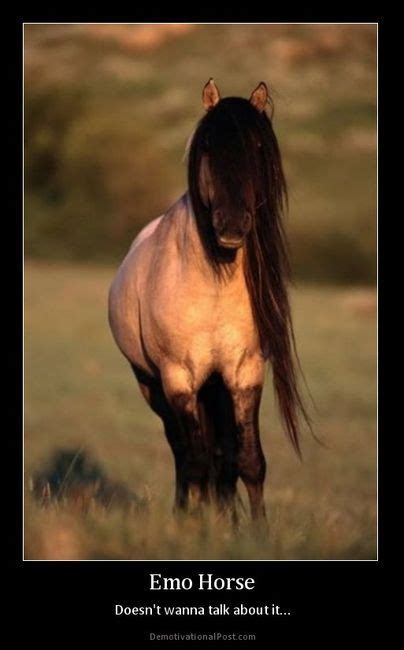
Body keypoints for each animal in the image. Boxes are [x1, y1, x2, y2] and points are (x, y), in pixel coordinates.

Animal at [108, 79, 310, 525]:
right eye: (206, 147)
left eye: (256, 146)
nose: (231, 226)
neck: (213, 287)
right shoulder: (178, 379)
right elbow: (195, 461)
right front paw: (192, 527)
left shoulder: (245, 373)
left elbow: (248, 460)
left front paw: (253, 531)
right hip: (154, 387)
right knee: (184, 453)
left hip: (215, 386)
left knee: (221, 456)